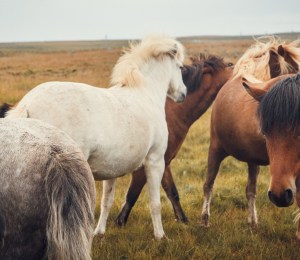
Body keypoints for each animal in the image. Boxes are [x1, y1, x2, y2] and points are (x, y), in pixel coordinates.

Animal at [7, 34, 186, 240]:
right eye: (180, 67)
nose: (183, 93)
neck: (144, 94)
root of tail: (28, 104)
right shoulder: (155, 161)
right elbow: (155, 202)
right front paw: (160, 236)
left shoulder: (112, 169)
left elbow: (106, 201)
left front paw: (99, 232)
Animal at [115, 53, 234, 225]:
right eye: (230, 65)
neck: (169, 112)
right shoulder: (144, 167)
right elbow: (131, 195)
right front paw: (120, 222)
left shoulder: (165, 162)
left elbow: (173, 193)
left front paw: (183, 220)